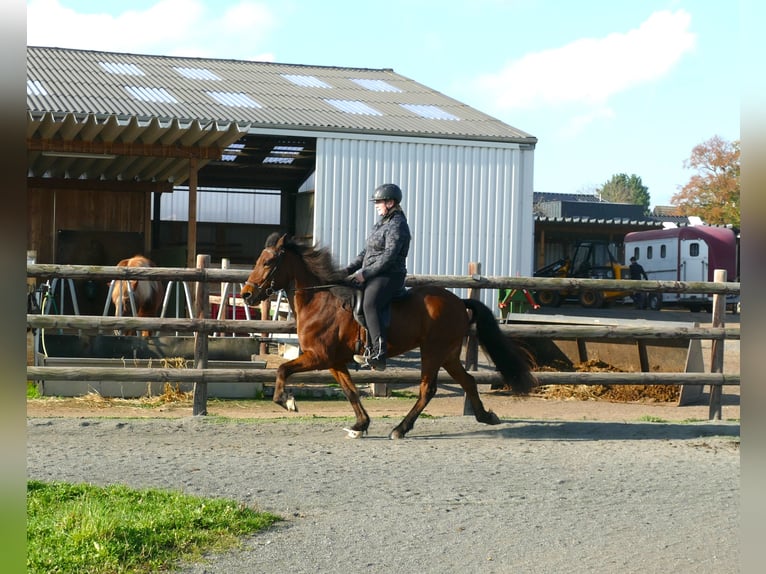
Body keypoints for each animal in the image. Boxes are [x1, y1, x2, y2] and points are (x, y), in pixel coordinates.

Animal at [243, 234, 536, 440]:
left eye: (268, 262)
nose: (246, 294)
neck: (320, 300)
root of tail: (457, 301)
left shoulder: (319, 357)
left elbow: (282, 369)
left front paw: (287, 401)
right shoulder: (334, 361)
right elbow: (350, 392)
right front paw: (360, 425)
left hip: (433, 352)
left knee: (427, 390)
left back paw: (401, 429)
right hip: (449, 355)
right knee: (469, 382)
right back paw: (486, 416)